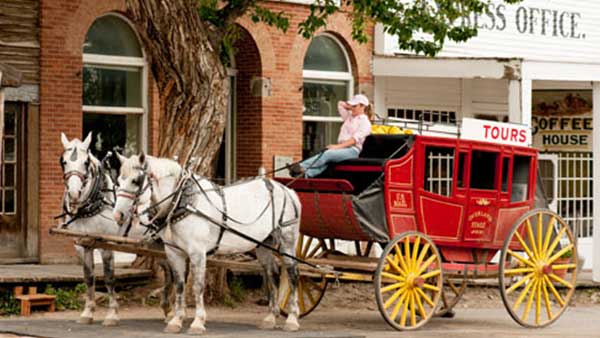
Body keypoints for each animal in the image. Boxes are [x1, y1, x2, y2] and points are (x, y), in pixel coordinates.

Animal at [58, 133, 173, 326]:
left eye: (85, 162)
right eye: (63, 161)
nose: (74, 194)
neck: (93, 205)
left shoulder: (106, 244)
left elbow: (109, 278)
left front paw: (112, 314)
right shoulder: (82, 245)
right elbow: (88, 277)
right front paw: (87, 312)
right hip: (156, 246)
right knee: (170, 271)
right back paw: (168, 309)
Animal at [112, 154, 302, 334]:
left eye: (136, 181)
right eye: (118, 180)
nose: (117, 215)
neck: (182, 200)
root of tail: (286, 189)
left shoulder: (197, 253)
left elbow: (197, 286)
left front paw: (198, 322)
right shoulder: (175, 253)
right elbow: (179, 285)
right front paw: (176, 321)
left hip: (287, 241)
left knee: (292, 275)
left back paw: (292, 319)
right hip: (263, 245)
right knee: (273, 274)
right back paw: (270, 317)